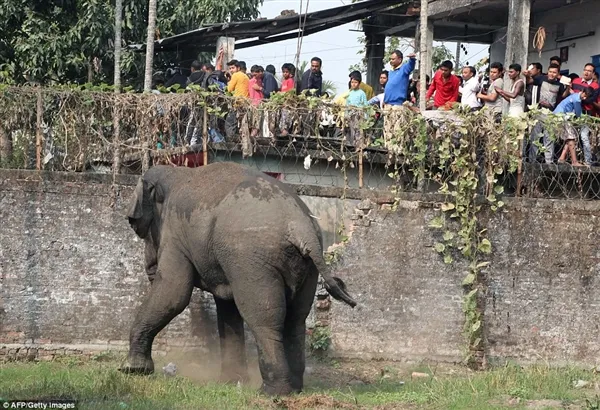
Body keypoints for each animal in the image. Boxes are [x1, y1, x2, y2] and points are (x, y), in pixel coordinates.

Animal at [121, 162, 356, 396]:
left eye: (136, 226)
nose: (150, 270)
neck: (176, 171)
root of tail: (300, 227)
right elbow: (227, 307)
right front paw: (230, 381)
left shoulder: (175, 234)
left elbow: (174, 294)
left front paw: (132, 370)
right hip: (305, 268)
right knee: (296, 318)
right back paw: (294, 390)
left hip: (251, 259)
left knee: (263, 316)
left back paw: (271, 392)